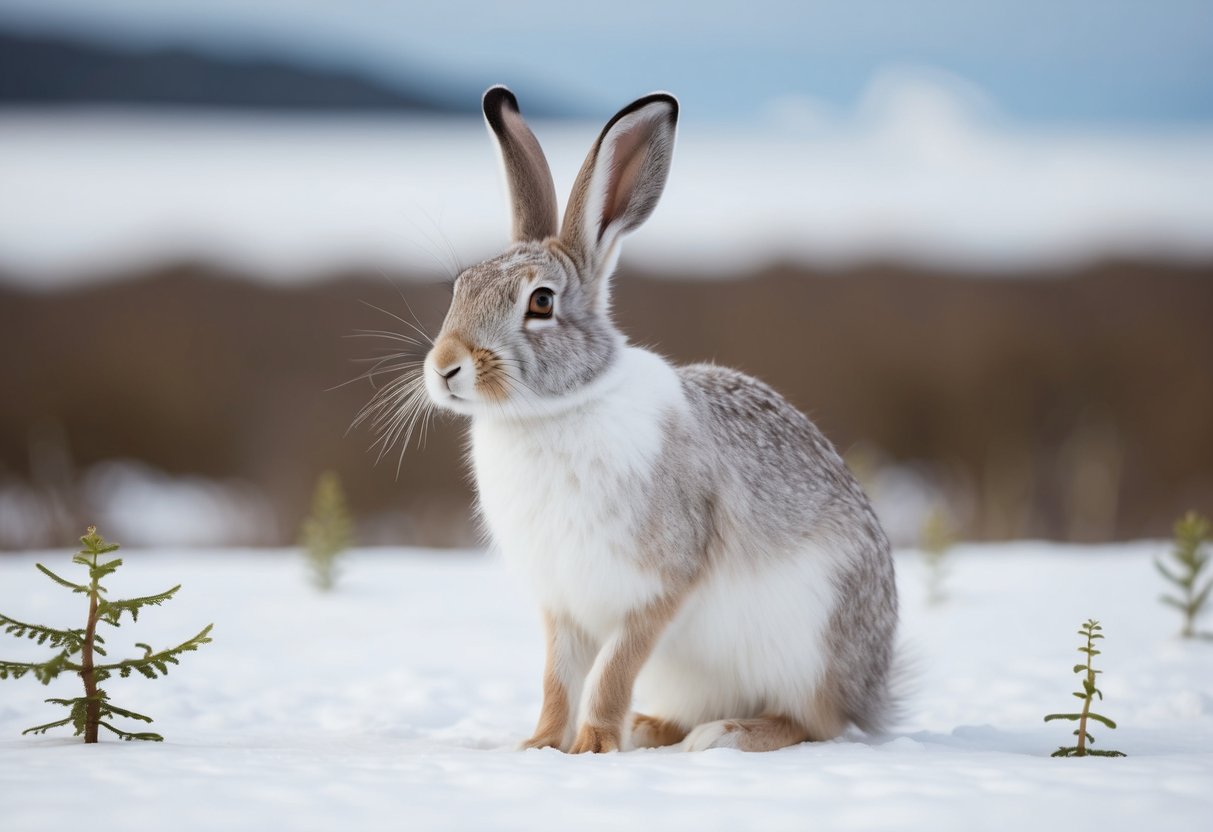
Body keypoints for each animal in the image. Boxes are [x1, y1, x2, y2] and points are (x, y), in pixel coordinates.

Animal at [420, 86, 898, 753]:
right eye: (459, 286)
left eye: (540, 302)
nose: (445, 367)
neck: (556, 409)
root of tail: (871, 690)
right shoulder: (562, 604)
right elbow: (558, 679)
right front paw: (540, 746)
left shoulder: (659, 586)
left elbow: (612, 671)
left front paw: (593, 746)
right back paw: (651, 727)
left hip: (806, 645)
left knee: (812, 722)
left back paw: (722, 735)